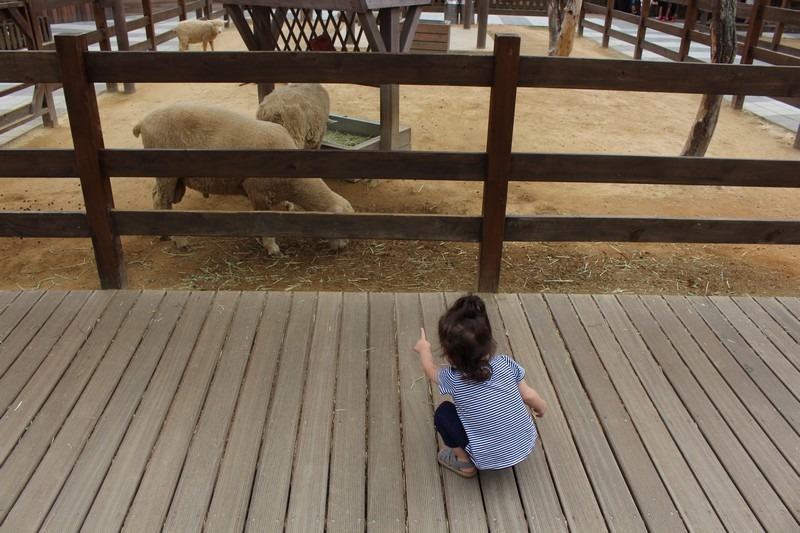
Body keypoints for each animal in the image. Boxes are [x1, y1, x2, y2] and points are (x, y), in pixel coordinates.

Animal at [132, 103, 354, 256]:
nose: (343, 248)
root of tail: (143, 122)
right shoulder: (257, 191)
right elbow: (266, 222)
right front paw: (272, 247)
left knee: (156, 195)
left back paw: (163, 233)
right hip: (166, 171)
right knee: (164, 201)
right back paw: (180, 241)